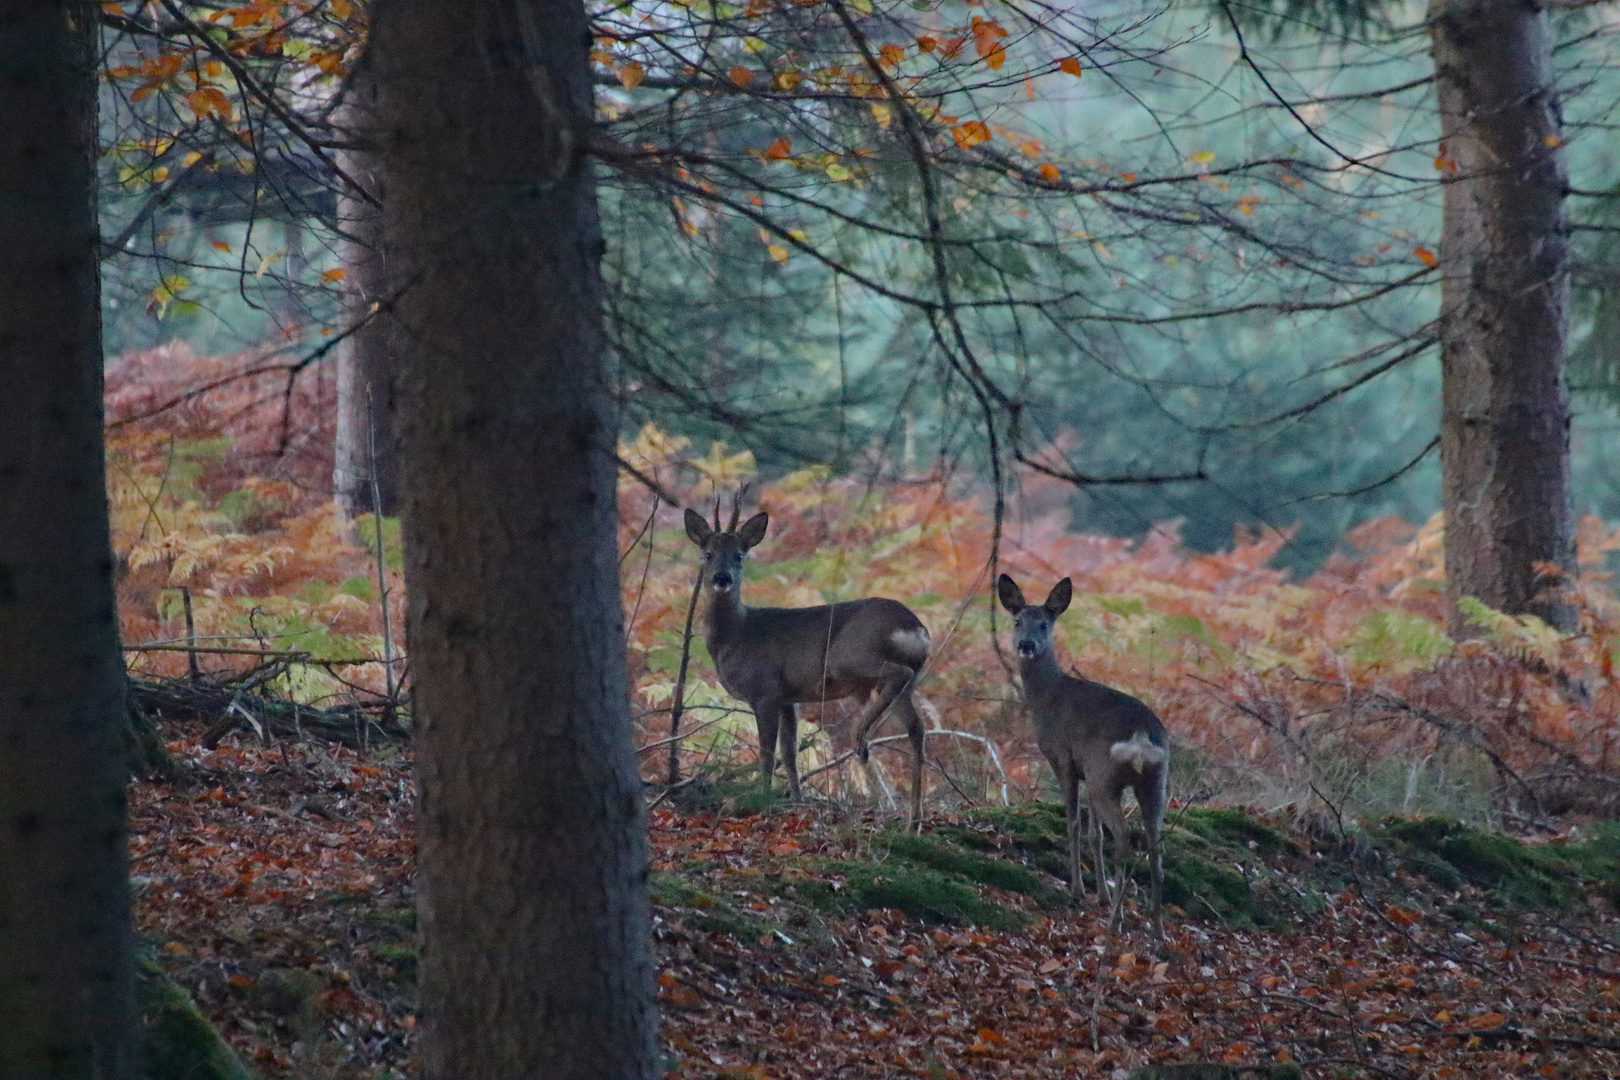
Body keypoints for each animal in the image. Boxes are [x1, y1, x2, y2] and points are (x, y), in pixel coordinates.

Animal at [686, 501, 939, 822]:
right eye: (707, 554)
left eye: (739, 556)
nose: (722, 578)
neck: (737, 635)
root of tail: (915, 627)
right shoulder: (787, 698)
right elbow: (789, 752)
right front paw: (797, 799)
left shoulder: (765, 690)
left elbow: (767, 753)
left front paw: (762, 798)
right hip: (901, 678)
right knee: (917, 728)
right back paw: (913, 817)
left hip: (849, 656)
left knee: (899, 676)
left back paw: (861, 739)